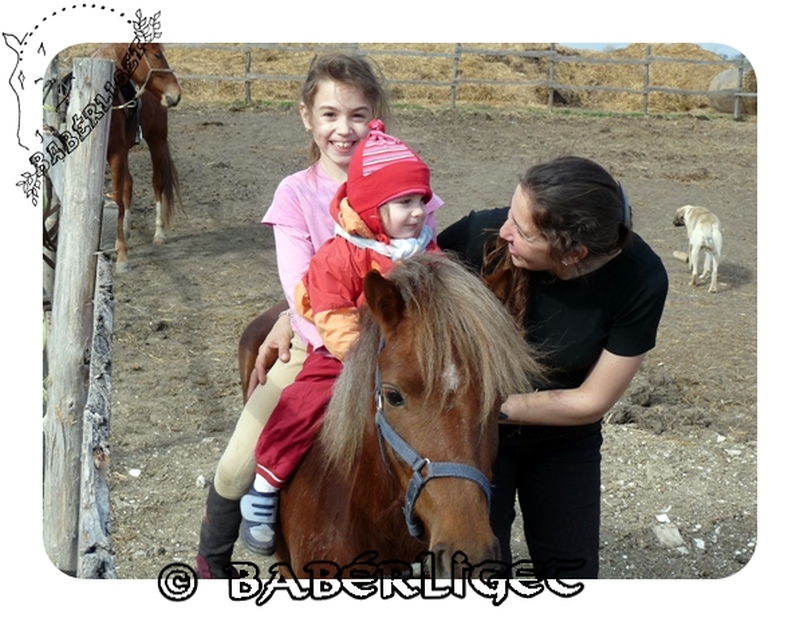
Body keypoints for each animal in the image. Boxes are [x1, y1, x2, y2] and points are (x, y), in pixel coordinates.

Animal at [91, 43, 182, 272]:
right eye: (157, 55)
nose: (176, 94)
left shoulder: (116, 154)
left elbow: (116, 200)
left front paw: (122, 257)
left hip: (156, 141)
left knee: (157, 183)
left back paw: (158, 233)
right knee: (128, 186)